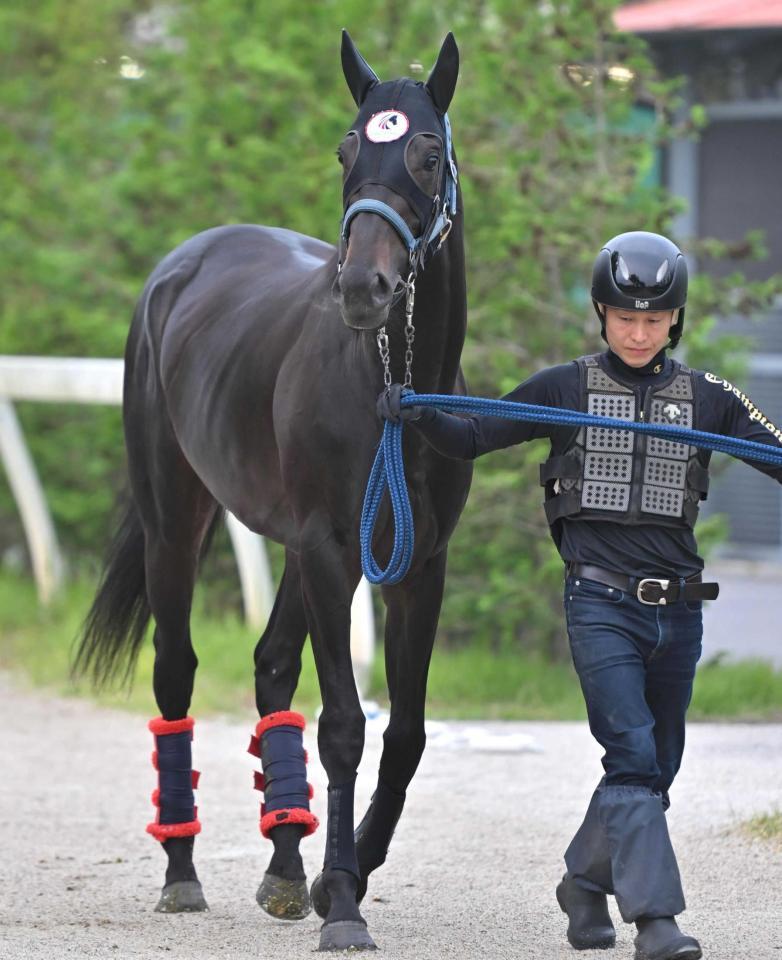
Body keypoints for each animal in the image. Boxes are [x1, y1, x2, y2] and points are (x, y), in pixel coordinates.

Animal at [76, 30, 474, 952]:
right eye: (346, 149)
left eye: (425, 152)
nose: (362, 288)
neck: (395, 391)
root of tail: (180, 266)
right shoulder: (332, 553)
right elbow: (344, 728)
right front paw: (345, 906)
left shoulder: (417, 567)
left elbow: (404, 734)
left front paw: (337, 875)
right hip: (178, 522)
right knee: (177, 672)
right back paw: (184, 875)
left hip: (295, 550)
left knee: (270, 667)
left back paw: (288, 869)